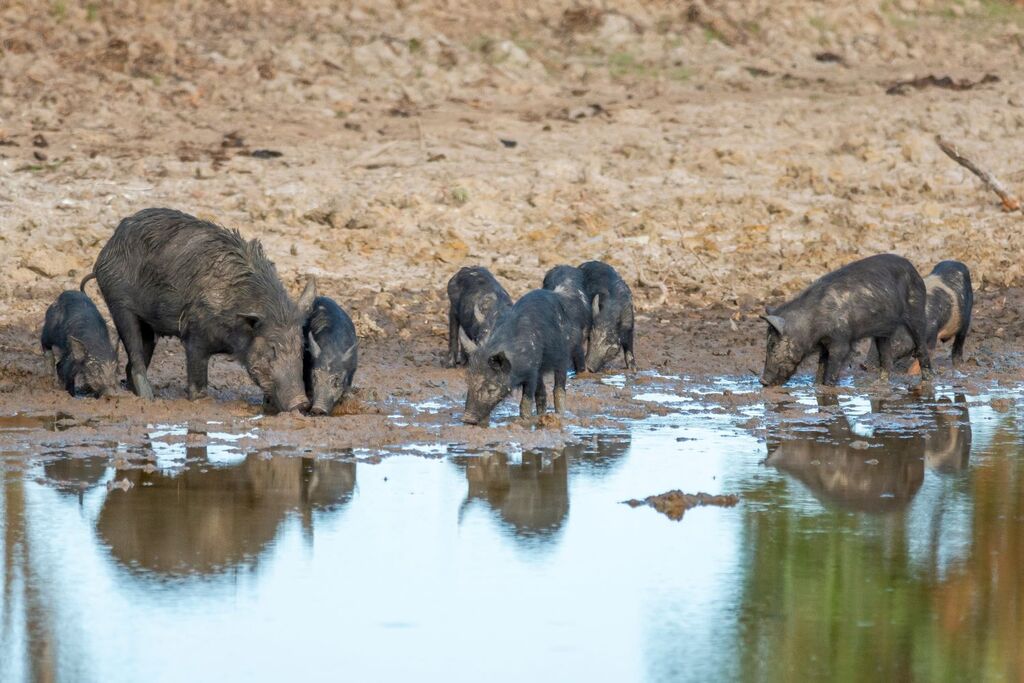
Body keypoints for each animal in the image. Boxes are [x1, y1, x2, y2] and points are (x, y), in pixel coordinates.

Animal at [85, 208, 313, 411]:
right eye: (272, 349)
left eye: (301, 348)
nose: (301, 403)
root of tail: (107, 249)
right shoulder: (195, 333)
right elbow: (197, 376)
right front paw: (201, 400)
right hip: (119, 303)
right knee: (135, 356)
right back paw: (149, 400)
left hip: (146, 323)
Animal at [462, 290, 585, 425]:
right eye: (469, 382)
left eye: (492, 389)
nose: (466, 419)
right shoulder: (535, 370)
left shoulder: (531, 373)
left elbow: (526, 400)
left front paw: (524, 420)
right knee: (542, 392)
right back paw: (541, 415)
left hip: (563, 355)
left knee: (559, 388)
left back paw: (560, 415)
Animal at [760, 254, 933, 387]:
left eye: (773, 345)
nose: (763, 381)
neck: (811, 323)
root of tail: (912, 267)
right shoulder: (824, 343)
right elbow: (821, 364)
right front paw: (816, 386)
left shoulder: (842, 339)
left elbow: (833, 366)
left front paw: (827, 387)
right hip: (883, 331)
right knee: (886, 356)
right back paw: (879, 384)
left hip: (916, 310)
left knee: (921, 346)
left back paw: (927, 382)